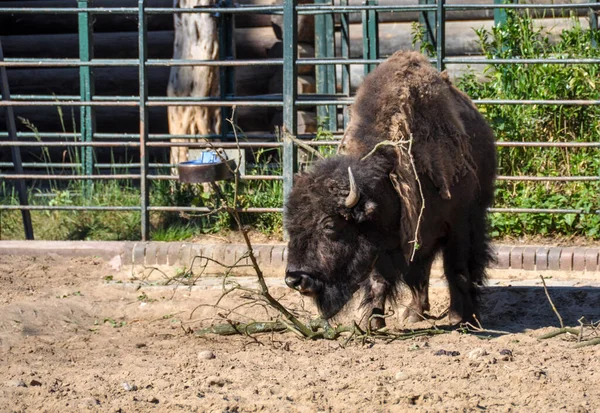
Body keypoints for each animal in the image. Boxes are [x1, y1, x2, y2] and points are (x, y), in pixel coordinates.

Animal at [284, 51, 494, 328]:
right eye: (291, 225)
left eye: (329, 225)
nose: (294, 279)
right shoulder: (386, 241)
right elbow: (379, 280)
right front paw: (372, 322)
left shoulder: (458, 224)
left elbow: (456, 270)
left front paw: (462, 318)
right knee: (422, 271)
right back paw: (413, 313)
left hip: (472, 217)